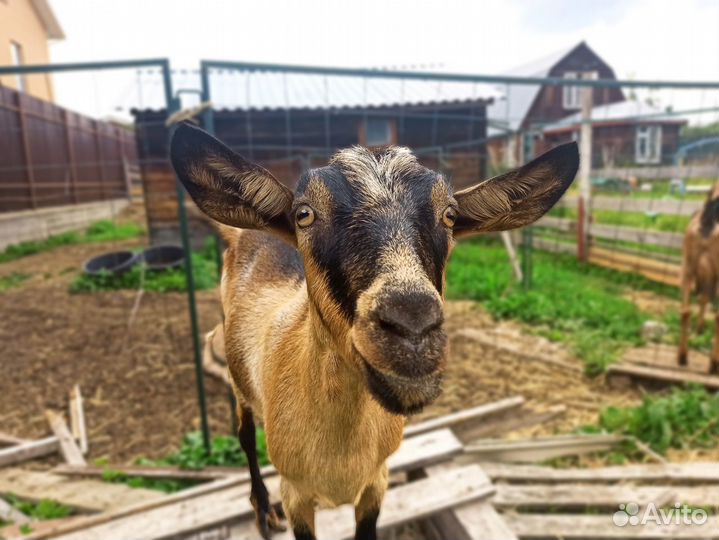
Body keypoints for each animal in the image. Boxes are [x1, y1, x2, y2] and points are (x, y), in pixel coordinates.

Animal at [170, 122, 580, 540]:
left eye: (450, 215)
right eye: (304, 214)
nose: (412, 326)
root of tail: (248, 232)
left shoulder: (376, 481)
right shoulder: (295, 492)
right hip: (239, 377)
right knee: (244, 432)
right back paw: (263, 510)